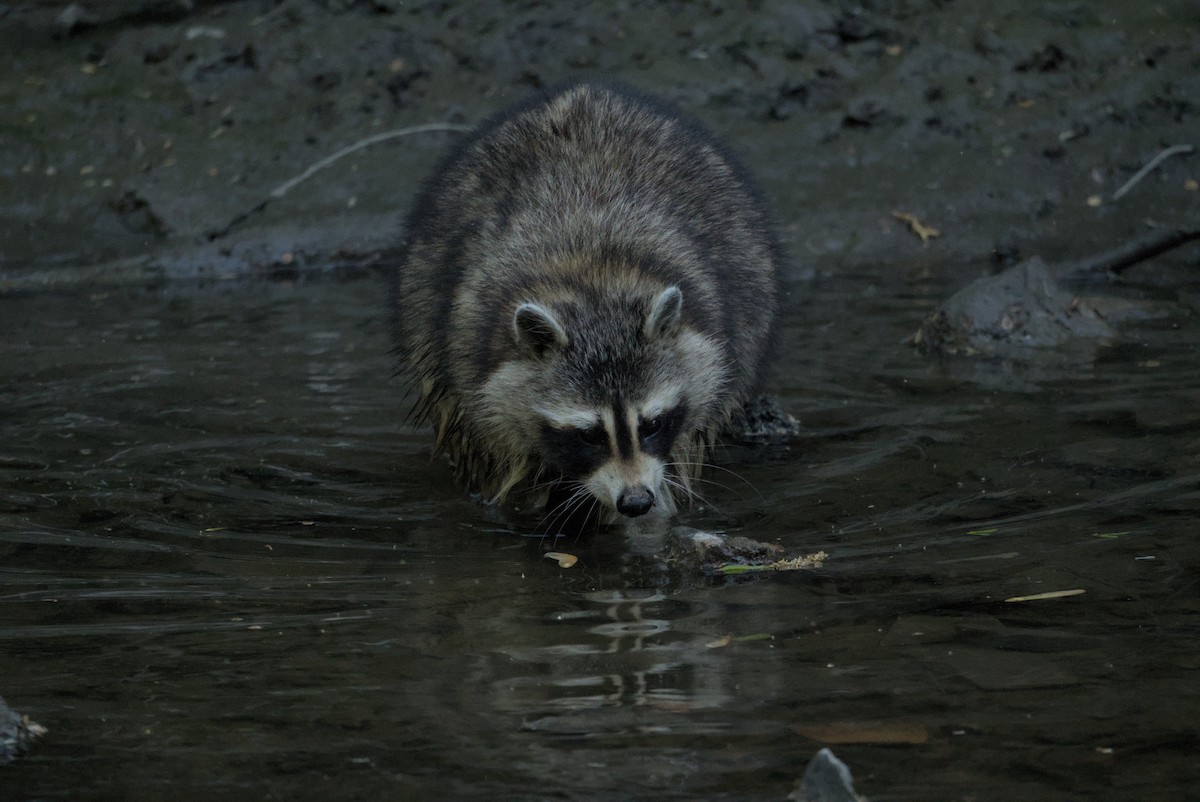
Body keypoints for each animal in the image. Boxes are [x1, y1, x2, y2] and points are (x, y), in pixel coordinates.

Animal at [393, 81, 781, 523]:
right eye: (588, 435)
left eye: (651, 424)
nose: (636, 501)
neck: (591, 284)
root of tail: (585, 94)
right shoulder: (472, 364)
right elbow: (502, 459)